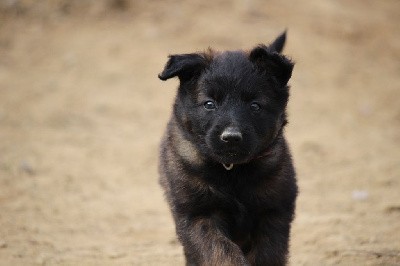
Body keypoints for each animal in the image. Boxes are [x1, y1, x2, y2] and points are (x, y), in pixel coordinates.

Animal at [158, 32, 296, 264]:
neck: (232, 171)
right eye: (209, 104)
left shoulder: (273, 213)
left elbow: (267, 253)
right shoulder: (198, 215)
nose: (231, 137)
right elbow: (220, 249)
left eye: (255, 106)